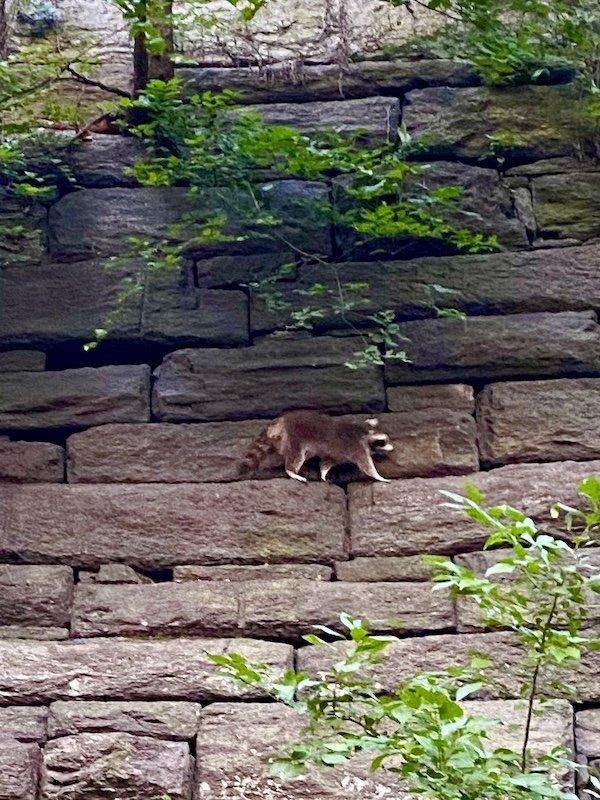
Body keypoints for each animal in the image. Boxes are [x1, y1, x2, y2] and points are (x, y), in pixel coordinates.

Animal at [241, 410, 393, 483]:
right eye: (382, 441)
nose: (392, 448)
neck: (364, 433)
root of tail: (282, 419)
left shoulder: (335, 454)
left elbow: (327, 462)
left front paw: (323, 473)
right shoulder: (356, 447)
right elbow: (366, 465)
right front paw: (379, 477)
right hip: (295, 437)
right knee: (296, 456)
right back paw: (291, 471)